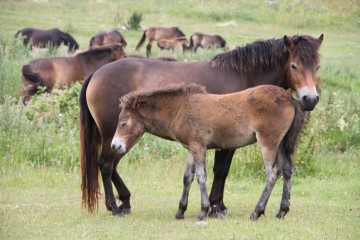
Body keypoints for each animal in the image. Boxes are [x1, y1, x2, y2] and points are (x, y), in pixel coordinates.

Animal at [112, 84, 306, 223]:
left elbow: (201, 177)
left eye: (123, 123)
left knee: (272, 174)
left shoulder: (199, 146)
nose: (115, 146)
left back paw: (256, 212)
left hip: (268, 142)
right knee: (287, 170)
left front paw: (203, 211)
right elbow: (187, 177)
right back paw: (281, 211)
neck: (181, 109)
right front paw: (180, 211)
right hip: (282, 144)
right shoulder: (191, 148)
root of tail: (289, 98)